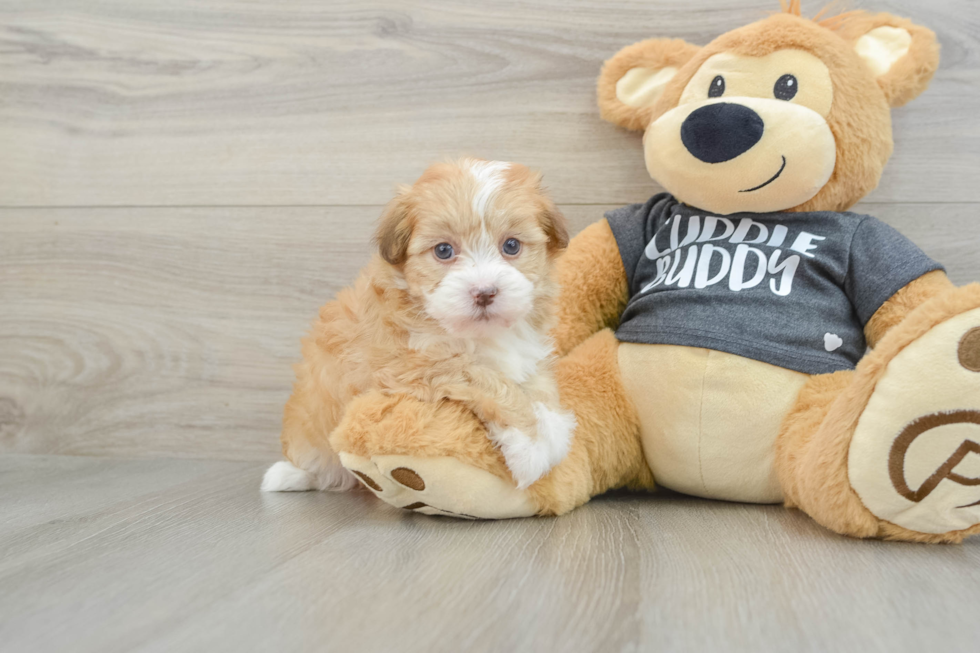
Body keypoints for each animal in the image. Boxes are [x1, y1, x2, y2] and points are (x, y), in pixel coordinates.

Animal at [264, 159, 580, 494]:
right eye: (443, 250)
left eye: (511, 245)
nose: (484, 292)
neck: (477, 334)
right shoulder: (415, 363)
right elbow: (488, 381)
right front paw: (532, 447)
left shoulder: (527, 349)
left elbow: (538, 386)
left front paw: (554, 432)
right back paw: (288, 474)